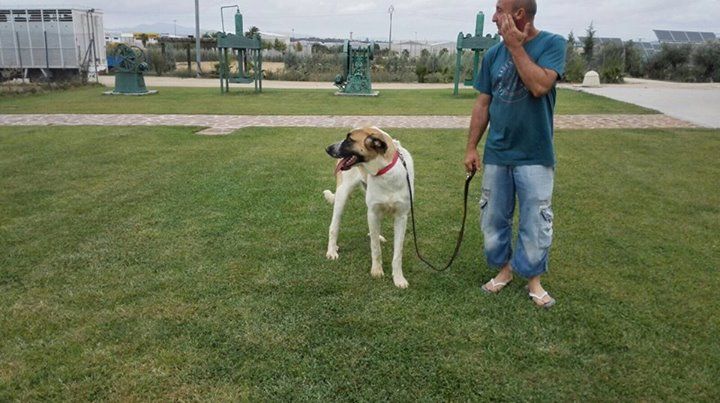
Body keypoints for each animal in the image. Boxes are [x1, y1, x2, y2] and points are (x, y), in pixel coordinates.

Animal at [323, 127, 415, 289]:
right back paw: (332, 250)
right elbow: (375, 248)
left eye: (350, 139)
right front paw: (377, 271)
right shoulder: (373, 212)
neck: (385, 171)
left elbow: (398, 253)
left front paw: (398, 278)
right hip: (342, 195)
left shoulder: (401, 217)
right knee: (333, 226)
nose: (328, 148)